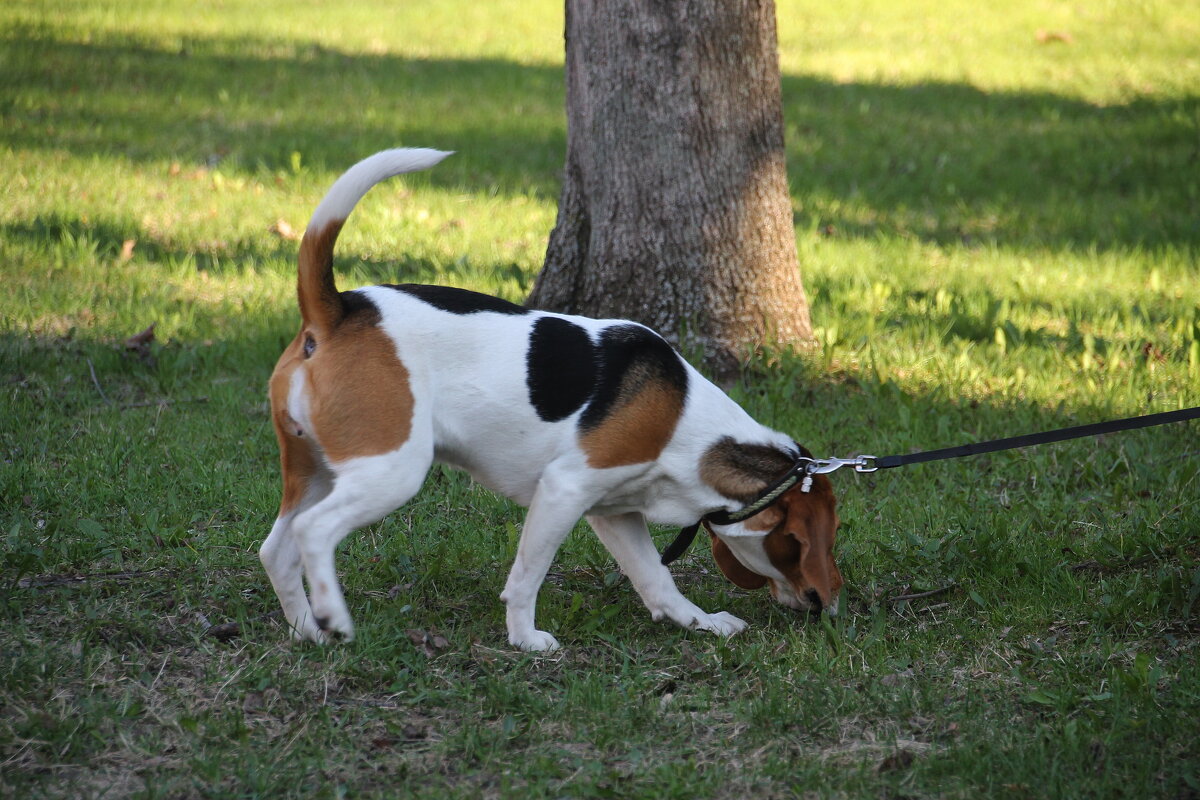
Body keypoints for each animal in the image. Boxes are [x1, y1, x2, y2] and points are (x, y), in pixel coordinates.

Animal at [262, 148, 844, 652]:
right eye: (828, 537)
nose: (833, 602)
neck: (689, 426)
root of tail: (338, 311)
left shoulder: (615, 512)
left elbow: (656, 578)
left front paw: (699, 622)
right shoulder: (565, 491)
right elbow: (527, 575)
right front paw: (525, 639)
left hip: (315, 471)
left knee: (278, 550)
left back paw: (307, 631)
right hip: (392, 470)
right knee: (314, 532)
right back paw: (334, 618)